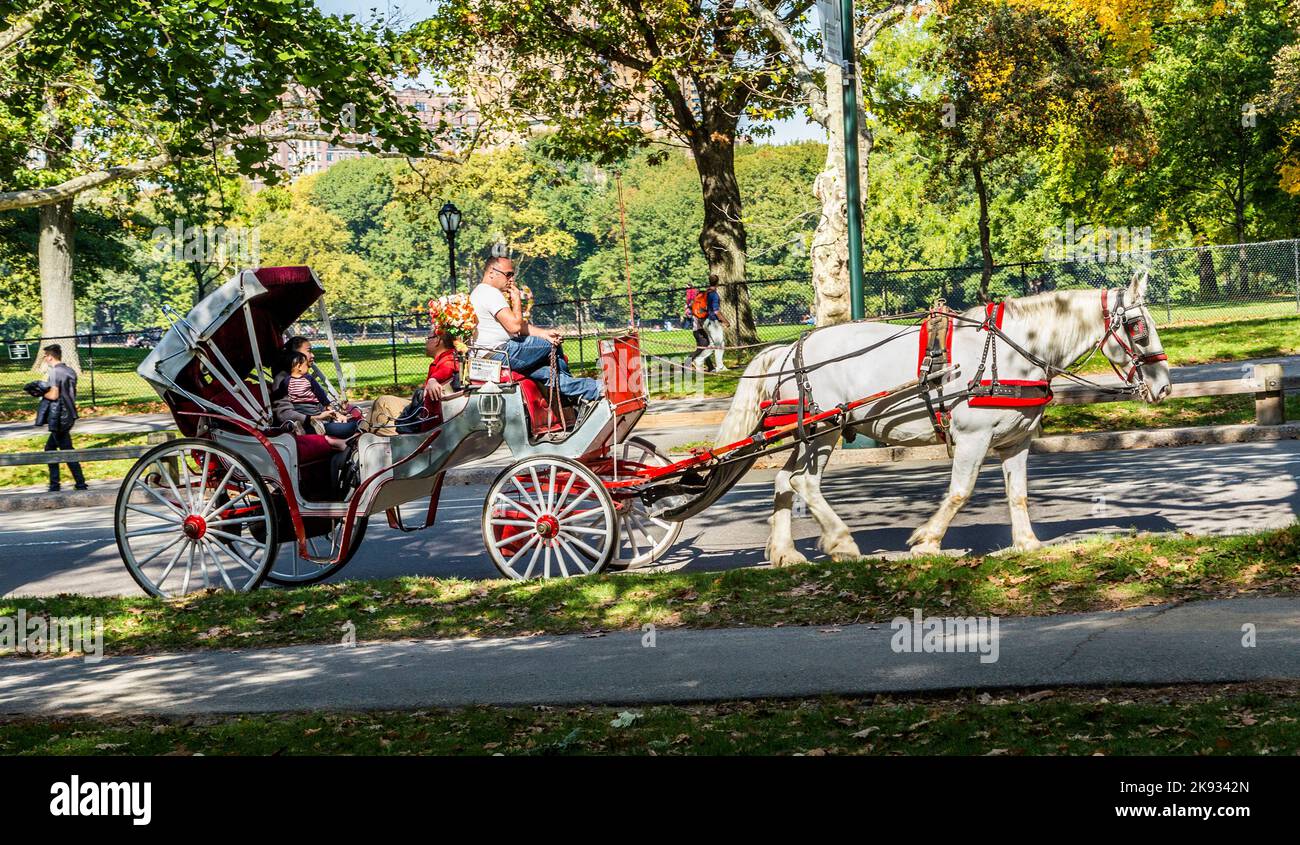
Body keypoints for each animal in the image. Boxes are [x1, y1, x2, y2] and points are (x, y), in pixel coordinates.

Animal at [717, 266, 1175, 561]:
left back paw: (785, 553)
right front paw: (927, 540)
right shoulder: (974, 437)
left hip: (809, 434)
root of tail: (790, 348)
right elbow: (960, 491)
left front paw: (1028, 544)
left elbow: (1018, 493)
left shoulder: (1016, 441)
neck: (1012, 351)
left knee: (784, 480)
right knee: (803, 482)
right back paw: (842, 542)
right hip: (825, 430)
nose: (1163, 386)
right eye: (1138, 328)